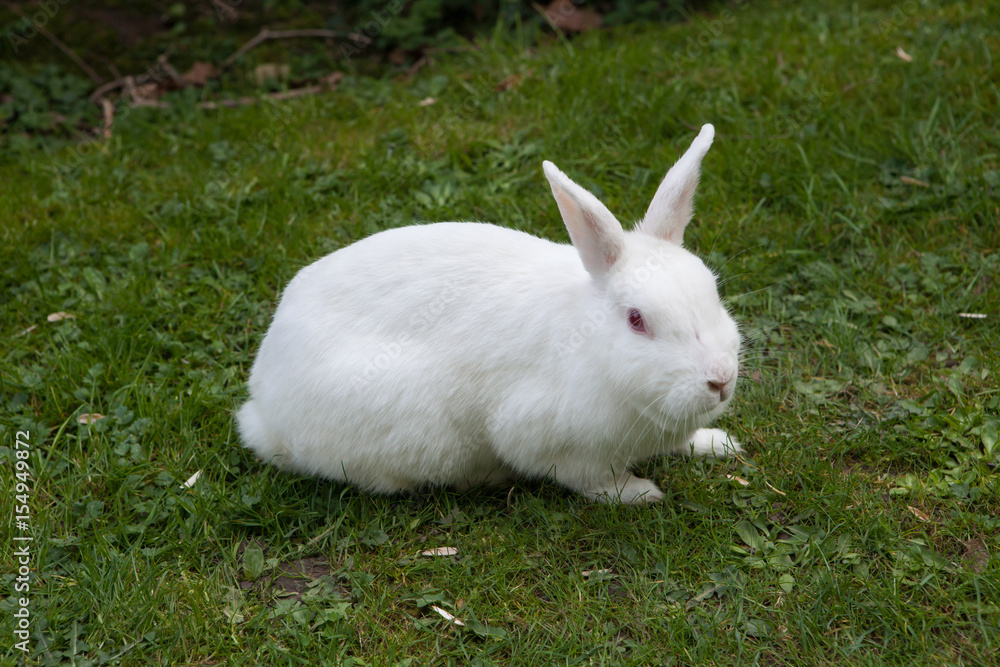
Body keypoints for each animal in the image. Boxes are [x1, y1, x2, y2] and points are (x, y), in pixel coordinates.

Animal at [238, 123, 744, 504]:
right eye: (637, 320)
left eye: (713, 291)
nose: (720, 380)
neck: (591, 350)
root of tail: (262, 406)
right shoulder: (550, 440)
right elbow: (591, 479)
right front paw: (640, 492)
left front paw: (717, 444)